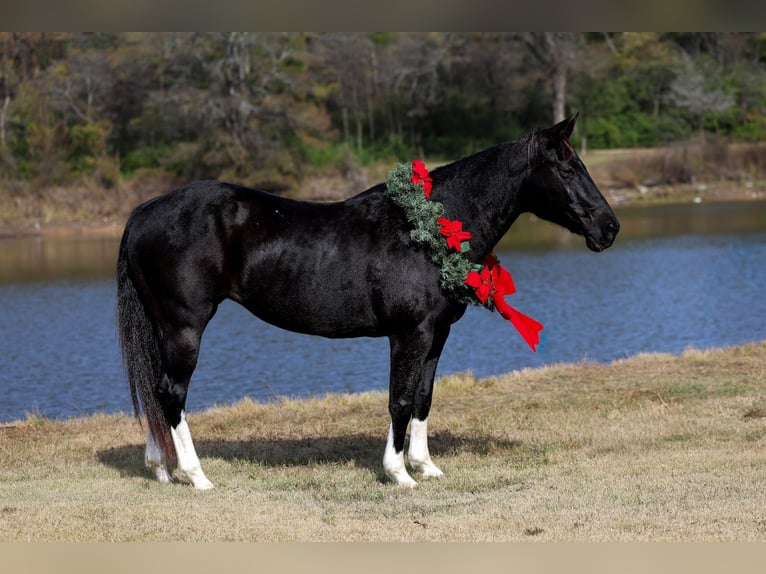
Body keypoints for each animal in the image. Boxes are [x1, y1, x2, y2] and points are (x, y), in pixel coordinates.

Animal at [117, 114, 619, 490]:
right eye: (568, 170)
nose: (609, 227)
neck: (425, 231)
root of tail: (143, 212)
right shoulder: (409, 334)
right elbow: (399, 399)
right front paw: (399, 474)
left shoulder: (437, 334)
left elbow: (423, 398)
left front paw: (425, 466)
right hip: (185, 327)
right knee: (172, 392)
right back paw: (196, 476)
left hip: (164, 328)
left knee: (158, 393)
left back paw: (161, 469)